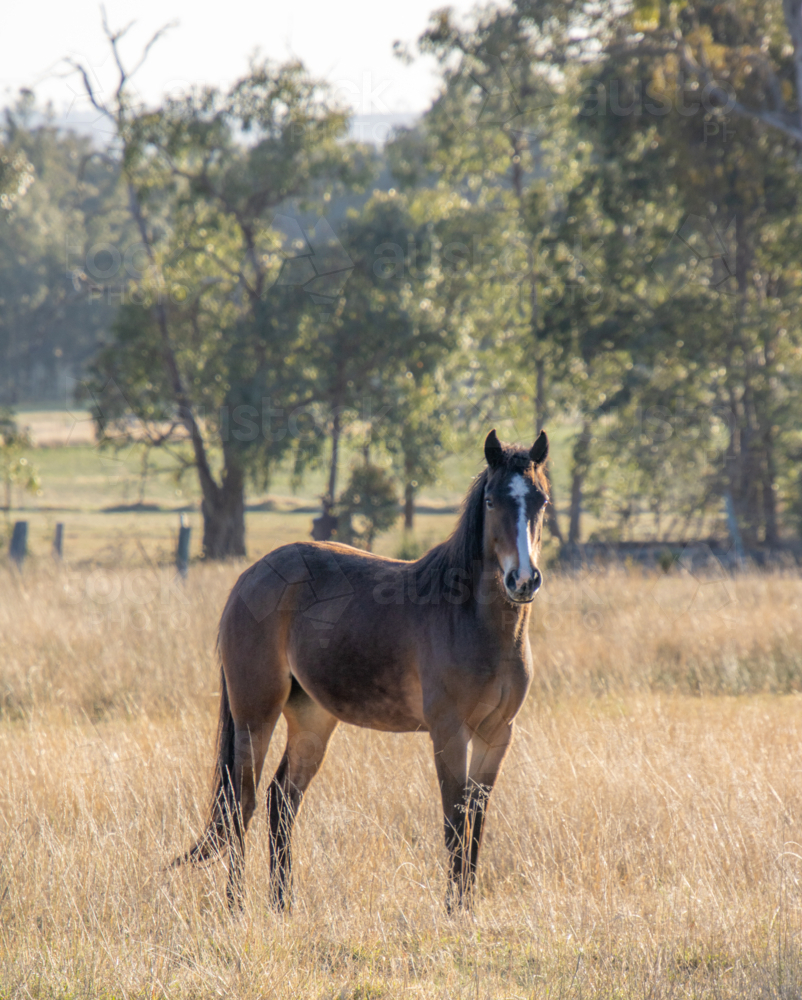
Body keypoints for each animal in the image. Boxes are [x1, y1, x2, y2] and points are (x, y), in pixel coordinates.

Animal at [175, 426, 552, 912]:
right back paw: (236, 904)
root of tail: (249, 577)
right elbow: (453, 821)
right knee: (243, 801)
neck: (469, 619)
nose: (522, 580)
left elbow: (476, 821)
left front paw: (467, 907)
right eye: (491, 500)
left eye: (541, 499)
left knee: (281, 800)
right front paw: (453, 910)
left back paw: (282, 905)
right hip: (254, 713)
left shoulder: (497, 734)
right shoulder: (449, 731)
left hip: (313, 719)